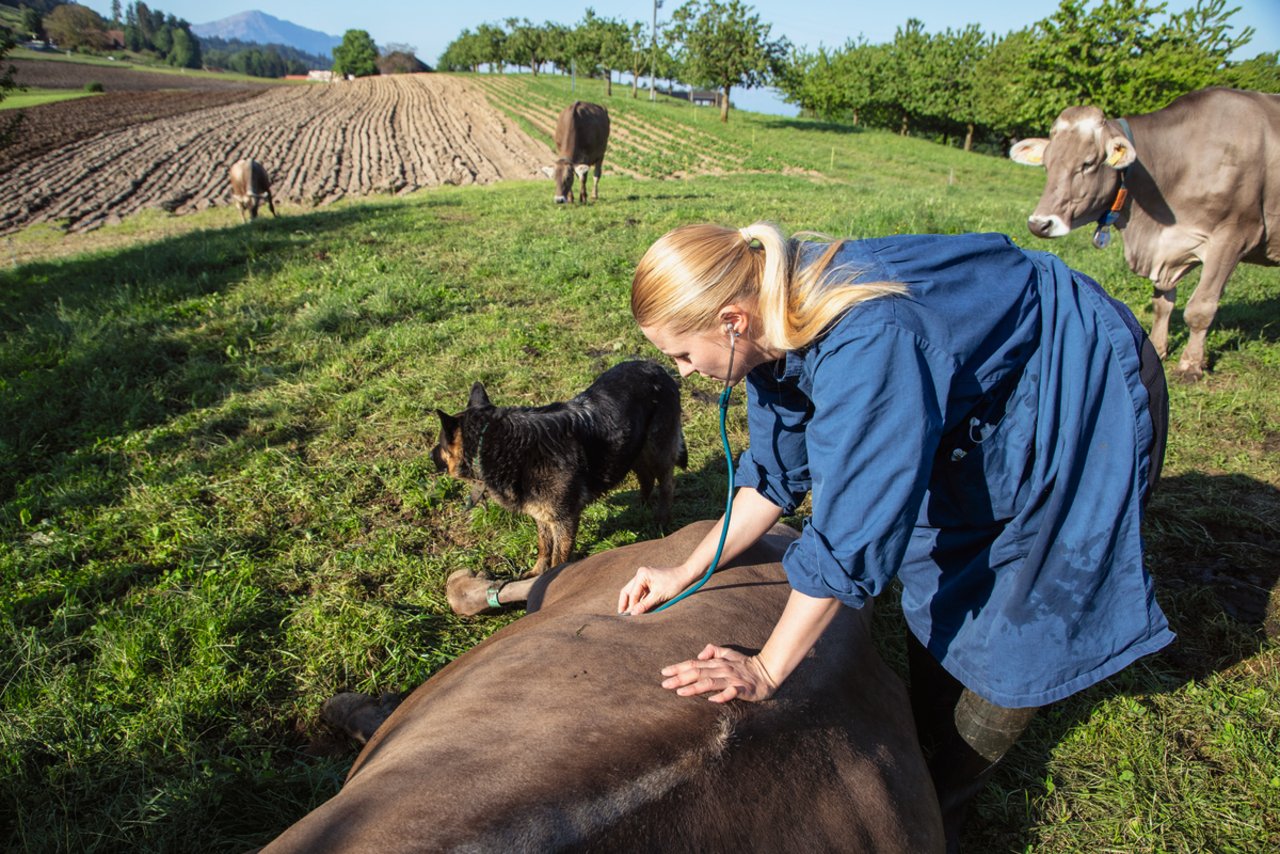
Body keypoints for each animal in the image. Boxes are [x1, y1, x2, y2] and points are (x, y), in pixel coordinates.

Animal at [430, 361, 686, 588]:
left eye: (440, 445)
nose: (430, 456)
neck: (496, 442)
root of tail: (657, 367)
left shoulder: (565, 520)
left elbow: (558, 558)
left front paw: (550, 580)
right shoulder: (543, 515)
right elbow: (544, 546)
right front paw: (536, 572)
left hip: (656, 448)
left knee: (667, 483)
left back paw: (661, 520)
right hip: (633, 449)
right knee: (646, 476)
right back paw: (641, 506)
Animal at [1008, 87, 1280, 381]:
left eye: (1088, 163)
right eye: (1046, 165)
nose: (1039, 224)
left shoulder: (1234, 237)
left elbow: (1201, 307)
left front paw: (1190, 366)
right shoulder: (1166, 247)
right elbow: (1162, 303)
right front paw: (1158, 349)